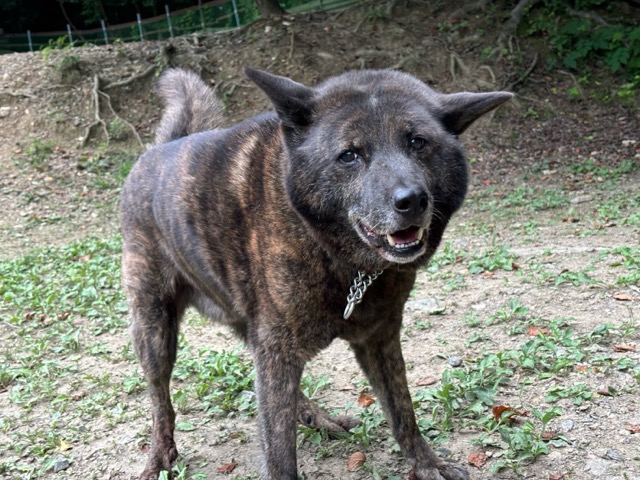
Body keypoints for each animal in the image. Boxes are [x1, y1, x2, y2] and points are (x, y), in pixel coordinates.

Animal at [120, 66, 512, 480]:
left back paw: (315, 416)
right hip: (154, 329)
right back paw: (159, 455)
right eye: (350, 155)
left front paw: (426, 464)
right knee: (160, 399)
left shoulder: (379, 337)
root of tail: (159, 150)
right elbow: (279, 452)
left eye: (418, 142)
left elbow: (402, 411)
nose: (412, 201)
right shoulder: (277, 350)